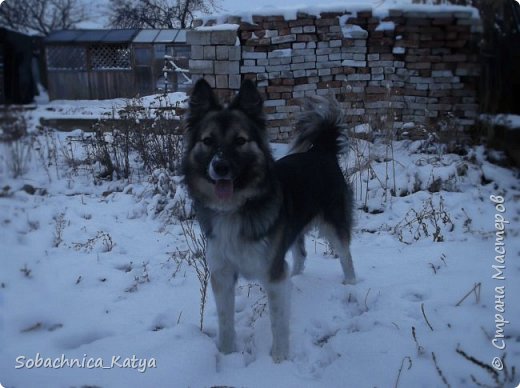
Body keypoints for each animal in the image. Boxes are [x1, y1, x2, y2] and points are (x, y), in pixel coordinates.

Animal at [181, 79, 356, 364]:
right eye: (207, 141)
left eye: (240, 141)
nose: (220, 167)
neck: (235, 208)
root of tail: (323, 150)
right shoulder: (222, 273)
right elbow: (225, 323)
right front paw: (226, 355)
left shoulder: (272, 275)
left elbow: (278, 322)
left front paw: (279, 359)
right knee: (300, 254)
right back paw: (296, 277)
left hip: (333, 221)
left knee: (345, 253)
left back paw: (351, 284)